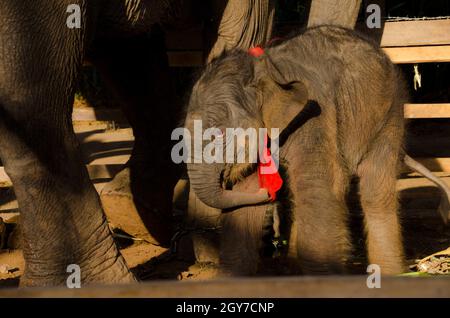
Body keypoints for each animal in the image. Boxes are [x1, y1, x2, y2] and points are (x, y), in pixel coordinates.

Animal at [183, 26, 408, 274]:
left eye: (220, 133)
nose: (268, 193)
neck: (265, 70)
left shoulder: (315, 115)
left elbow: (319, 185)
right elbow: (246, 191)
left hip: (389, 112)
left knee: (374, 189)